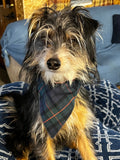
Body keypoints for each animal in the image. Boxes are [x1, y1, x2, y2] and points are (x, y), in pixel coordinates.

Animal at [4, 5, 99, 160]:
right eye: (45, 38)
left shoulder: (80, 125)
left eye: (72, 40)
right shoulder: (40, 131)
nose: (52, 63)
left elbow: (88, 151)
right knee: (21, 151)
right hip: (21, 136)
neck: (58, 85)